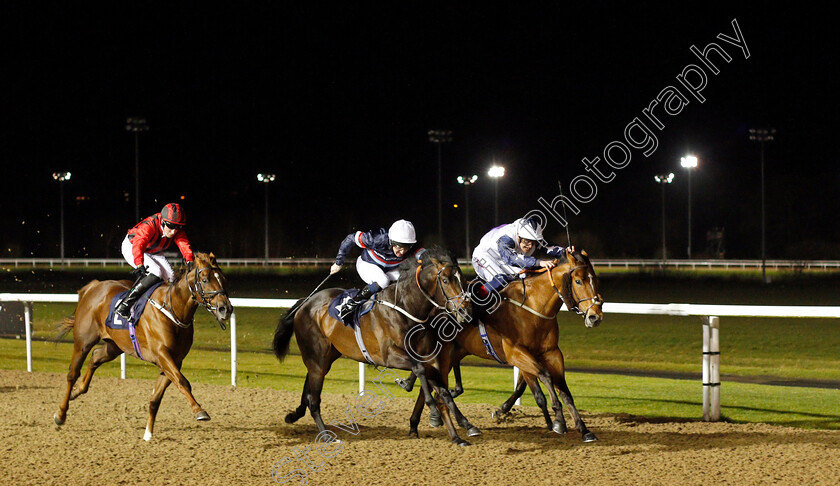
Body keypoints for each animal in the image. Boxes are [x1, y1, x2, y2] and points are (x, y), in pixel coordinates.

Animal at [53, 252, 231, 442]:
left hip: (114, 346)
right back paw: (61, 414)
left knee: (95, 357)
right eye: (204, 280)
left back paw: (77, 391)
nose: (225, 309)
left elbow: (156, 398)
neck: (172, 310)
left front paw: (148, 433)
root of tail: (93, 286)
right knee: (72, 374)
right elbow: (183, 381)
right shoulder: (162, 355)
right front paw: (199, 410)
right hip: (83, 341)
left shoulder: (174, 360)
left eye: (223, 279)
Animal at [272, 249, 476, 446]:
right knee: (314, 400)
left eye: (463, 280)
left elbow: (441, 389)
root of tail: (305, 303)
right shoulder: (388, 356)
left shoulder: (423, 357)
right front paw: (432, 406)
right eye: (445, 280)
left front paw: (464, 427)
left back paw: (294, 415)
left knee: (309, 387)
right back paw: (327, 436)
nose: (466, 311)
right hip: (317, 356)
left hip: (325, 357)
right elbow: (419, 370)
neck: (405, 307)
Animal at [402, 249, 604, 442]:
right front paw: (558, 421)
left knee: (430, 389)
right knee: (435, 389)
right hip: (442, 357)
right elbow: (544, 377)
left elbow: (563, 391)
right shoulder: (516, 353)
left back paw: (417, 424)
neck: (533, 307)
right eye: (578, 281)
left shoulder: (551, 353)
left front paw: (584, 430)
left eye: (595, 279)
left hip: (453, 355)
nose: (595, 316)